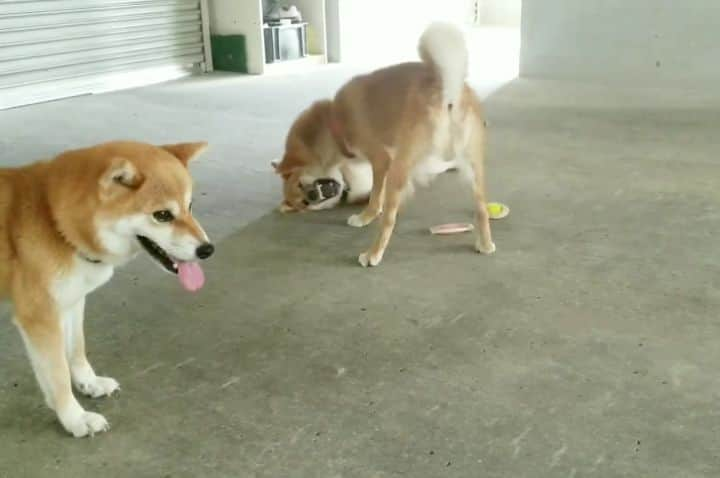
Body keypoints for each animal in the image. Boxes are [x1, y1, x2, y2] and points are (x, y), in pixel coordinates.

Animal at [0, 139, 214, 436]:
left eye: (190, 206)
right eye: (162, 215)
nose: (208, 250)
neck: (54, 220)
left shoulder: (72, 301)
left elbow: (76, 350)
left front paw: (88, 383)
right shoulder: (39, 317)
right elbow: (58, 374)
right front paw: (75, 418)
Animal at [276, 23, 496, 266]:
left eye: (301, 186)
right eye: (304, 203)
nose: (313, 196)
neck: (334, 123)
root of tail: (445, 88)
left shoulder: (381, 161)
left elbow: (375, 197)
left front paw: (366, 216)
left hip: (399, 168)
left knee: (389, 222)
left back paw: (372, 254)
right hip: (472, 166)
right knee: (481, 210)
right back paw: (486, 245)